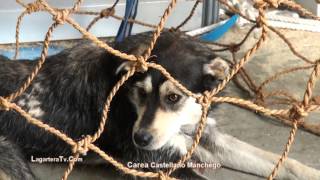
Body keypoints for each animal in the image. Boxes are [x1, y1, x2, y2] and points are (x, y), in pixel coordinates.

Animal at [0, 31, 320, 179]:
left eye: (173, 97)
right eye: (140, 93)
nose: (139, 138)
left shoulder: (206, 137)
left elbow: (286, 162)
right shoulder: (160, 164)